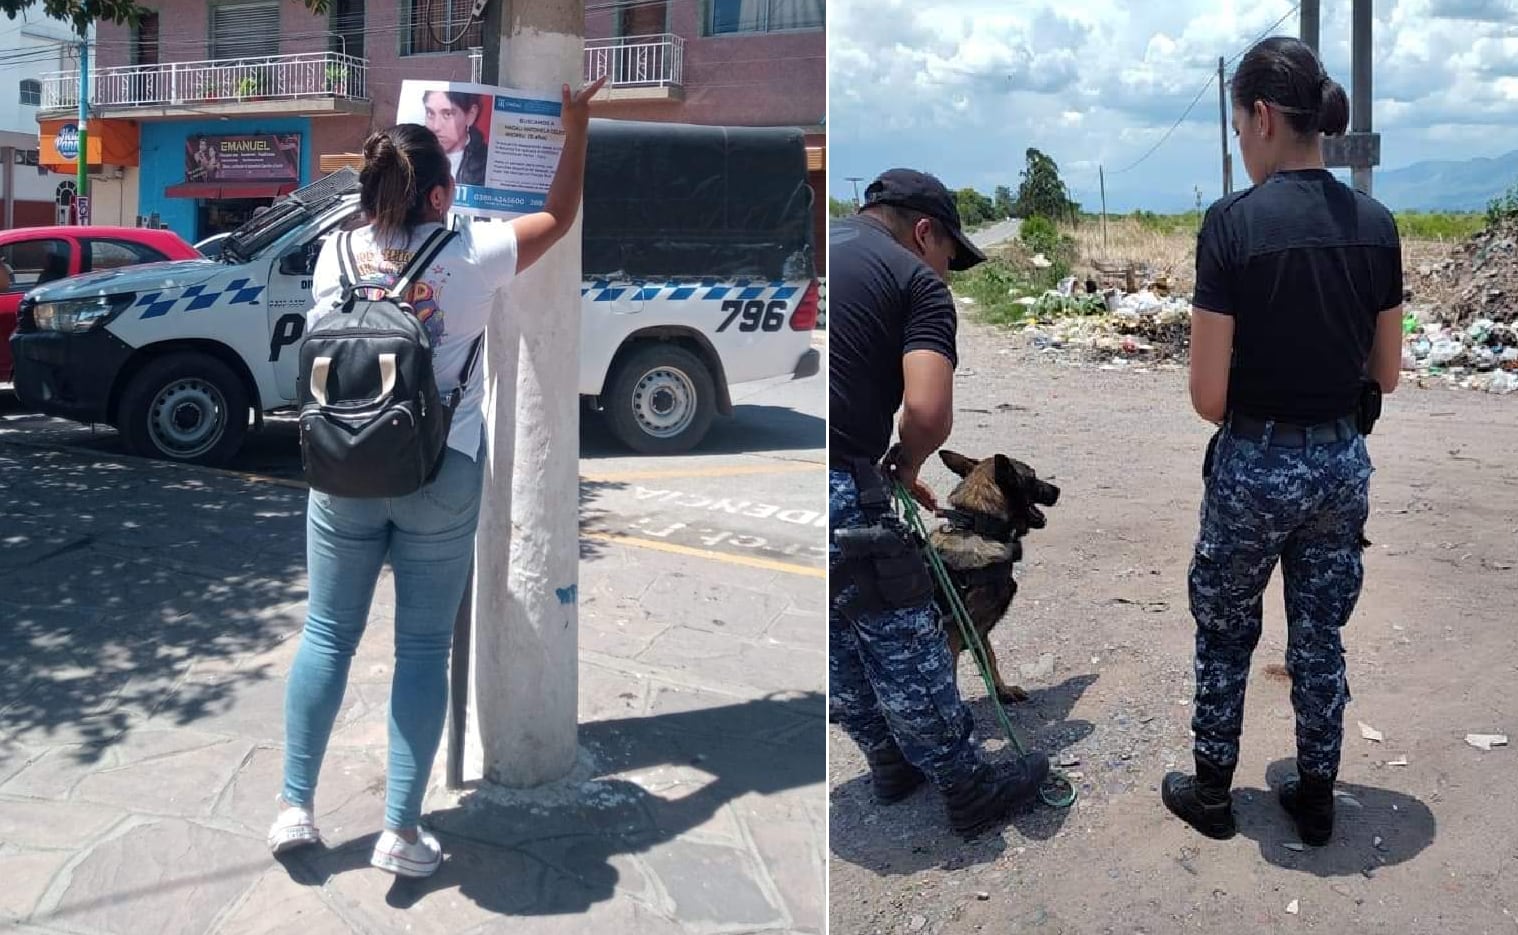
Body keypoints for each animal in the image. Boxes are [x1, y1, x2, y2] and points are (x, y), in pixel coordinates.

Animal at [922, 452, 1056, 701]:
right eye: (1032, 477)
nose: (1057, 490)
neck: (981, 527)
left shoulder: (978, 631)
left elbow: (990, 658)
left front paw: (1003, 690)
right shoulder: (953, 634)